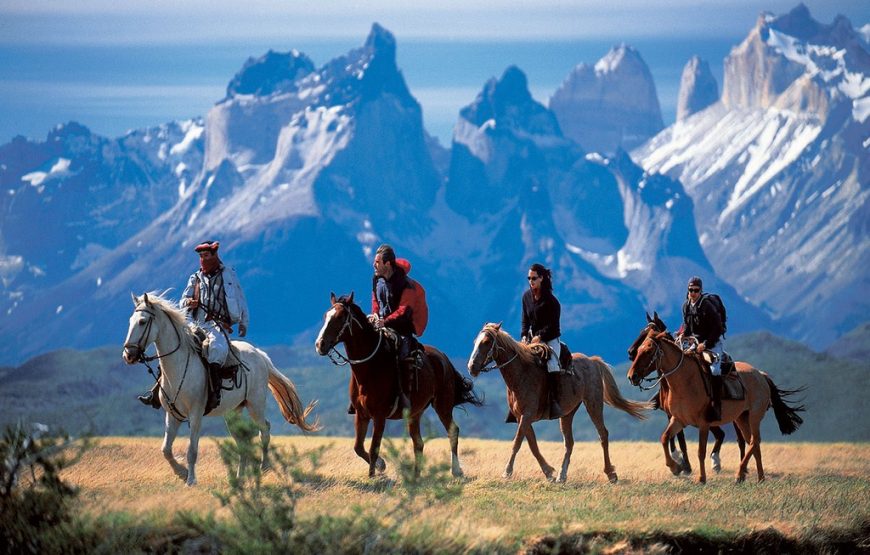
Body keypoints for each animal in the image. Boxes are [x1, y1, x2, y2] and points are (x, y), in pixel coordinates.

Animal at [122, 293, 319, 486]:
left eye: (142, 321)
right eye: (130, 321)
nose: (128, 355)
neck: (178, 368)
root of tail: (259, 355)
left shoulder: (195, 414)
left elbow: (192, 450)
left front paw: (191, 480)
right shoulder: (172, 415)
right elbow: (166, 449)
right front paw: (182, 473)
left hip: (255, 405)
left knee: (264, 429)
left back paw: (264, 467)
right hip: (232, 412)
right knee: (242, 441)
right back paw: (240, 476)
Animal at [314, 292, 483, 478]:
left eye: (339, 317)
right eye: (325, 316)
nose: (320, 344)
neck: (369, 369)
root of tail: (444, 358)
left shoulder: (379, 416)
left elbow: (373, 448)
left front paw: (373, 476)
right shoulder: (361, 414)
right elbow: (358, 447)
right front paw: (381, 466)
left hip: (442, 405)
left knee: (452, 431)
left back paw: (456, 470)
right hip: (414, 413)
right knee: (418, 443)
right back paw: (416, 475)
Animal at [467, 323, 649, 483]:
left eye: (486, 342)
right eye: (475, 342)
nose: (471, 367)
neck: (522, 373)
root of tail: (592, 361)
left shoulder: (527, 415)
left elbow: (517, 443)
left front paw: (507, 472)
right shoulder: (522, 418)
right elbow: (532, 445)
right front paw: (549, 472)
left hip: (593, 404)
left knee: (602, 434)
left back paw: (610, 473)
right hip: (567, 414)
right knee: (569, 442)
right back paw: (562, 475)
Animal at [627, 312, 745, 474]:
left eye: (648, 333)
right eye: (641, 332)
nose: (631, 352)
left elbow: (681, 440)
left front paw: (685, 465)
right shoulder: (672, 414)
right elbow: (673, 437)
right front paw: (679, 461)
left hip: (735, 416)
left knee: (739, 440)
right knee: (721, 435)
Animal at [627, 328, 804, 483]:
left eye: (648, 351)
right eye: (639, 349)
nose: (631, 376)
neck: (685, 381)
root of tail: (761, 375)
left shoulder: (704, 424)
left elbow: (701, 451)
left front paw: (701, 478)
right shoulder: (678, 420)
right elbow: (665, 438)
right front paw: (675, 468)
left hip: (754, 416)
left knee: (754, 441)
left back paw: (739, 474)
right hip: (741, 418)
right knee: (753, 443)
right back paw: (759, 477)